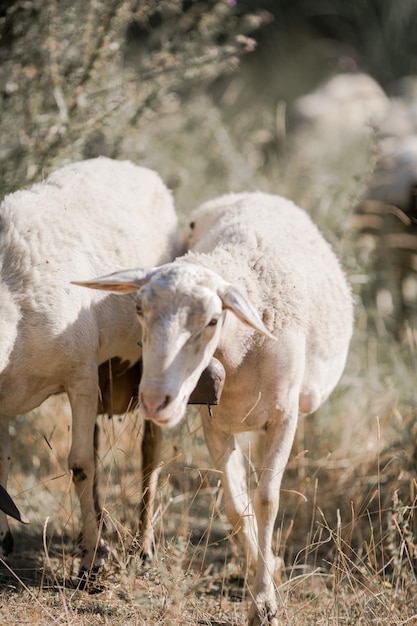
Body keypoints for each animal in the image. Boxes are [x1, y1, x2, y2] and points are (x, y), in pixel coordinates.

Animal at [0, 156, 180, 580]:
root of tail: (132, 166)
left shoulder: (80, 378)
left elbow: (81, 465)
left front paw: (92, 565)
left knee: (149, 452)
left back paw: (142, 547)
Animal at [75, 193, 354, 620]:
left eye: (211, 320)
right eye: (139, 309)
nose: (154, 399)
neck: (240, 351)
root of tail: (253, 192)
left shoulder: (284, 417)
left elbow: (267, 500)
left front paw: (264, 601)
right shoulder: (216, 424)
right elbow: (236, 506)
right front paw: (260, 574)